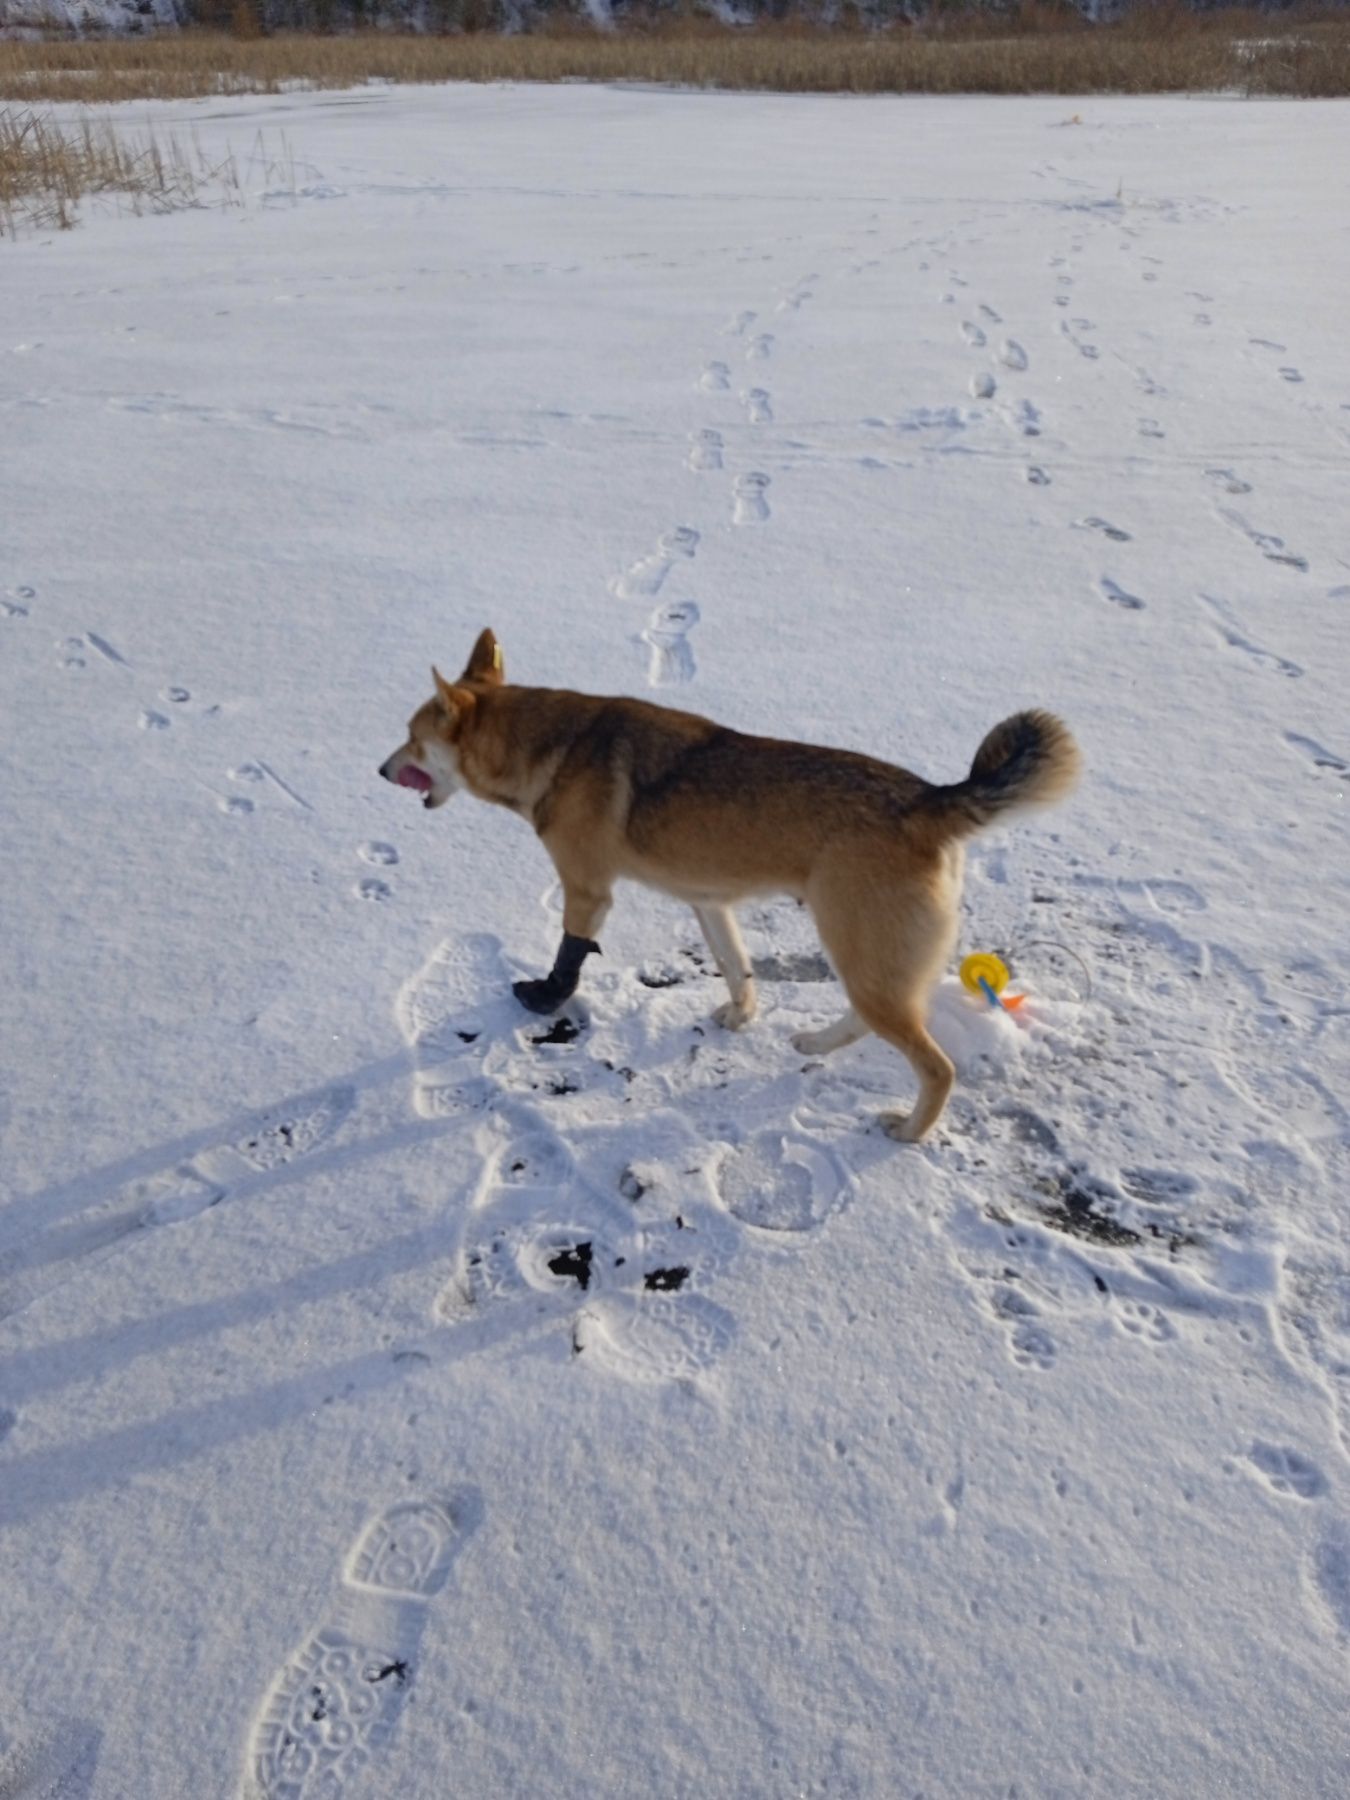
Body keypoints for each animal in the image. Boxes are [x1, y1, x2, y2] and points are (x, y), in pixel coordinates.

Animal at [378, 630, 1080, 1137]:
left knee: (936, 1067)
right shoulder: (709, 903)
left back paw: (909, 1131)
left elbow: (569, 957)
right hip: (870, 959)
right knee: (872, 1017)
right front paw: (741, 1018)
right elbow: (737, 969)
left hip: (859, 950)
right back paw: (816, 1042)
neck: (548, 748)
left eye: (411, 739)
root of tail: (931, 799)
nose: (381, 770)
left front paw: (545, 999)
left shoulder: (587, 890)